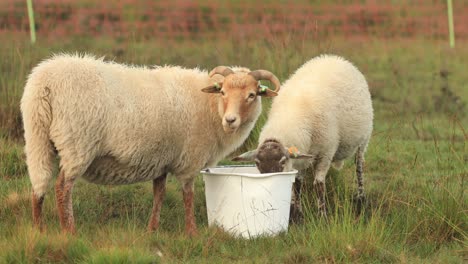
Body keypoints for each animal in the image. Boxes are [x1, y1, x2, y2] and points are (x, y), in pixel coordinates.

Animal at [22, 54, 280, 235]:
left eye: (251, 95)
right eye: (223, 91)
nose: (231, 120)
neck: (210, 106)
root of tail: (44, 83)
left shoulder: (161, 159)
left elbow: (159, 194)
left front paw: (152, 230)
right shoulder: (190, 158)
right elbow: (188, 195)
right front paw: (192, 232)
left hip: (37, 137)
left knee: (38, 183)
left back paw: (39, 230)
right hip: (77, 142)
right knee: (62, 187)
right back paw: (70, 231)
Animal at [234, 54, 372, 220]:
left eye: (282, 161)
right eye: (257, 162)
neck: (291, 116)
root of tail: (335, 58)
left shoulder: (326, 153)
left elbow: (319, 185)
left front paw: (322, 215)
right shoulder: (300, 155)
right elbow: (297, 183)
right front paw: (297, 213)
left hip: (364, 140)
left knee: (359, 167)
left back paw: (361, 197)